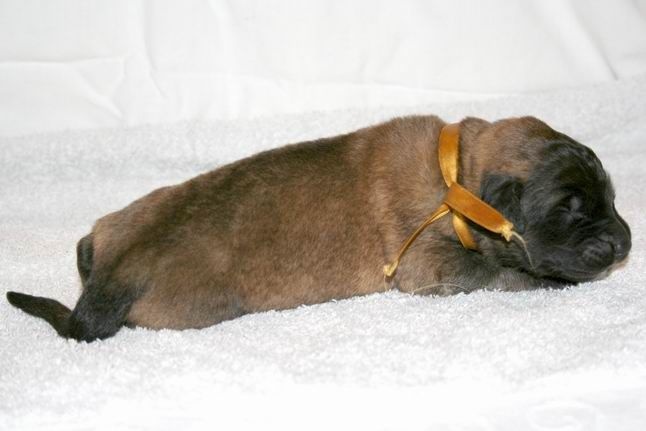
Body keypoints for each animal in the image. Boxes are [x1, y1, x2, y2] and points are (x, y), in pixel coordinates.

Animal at [6, 115, 631, 342]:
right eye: (571, 208)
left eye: (610, 196)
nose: (625, 243)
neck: (457, 174)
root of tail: (115, 271)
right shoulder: (431, 266)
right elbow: (497, 269)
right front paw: (546, 280)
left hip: (113, 223)